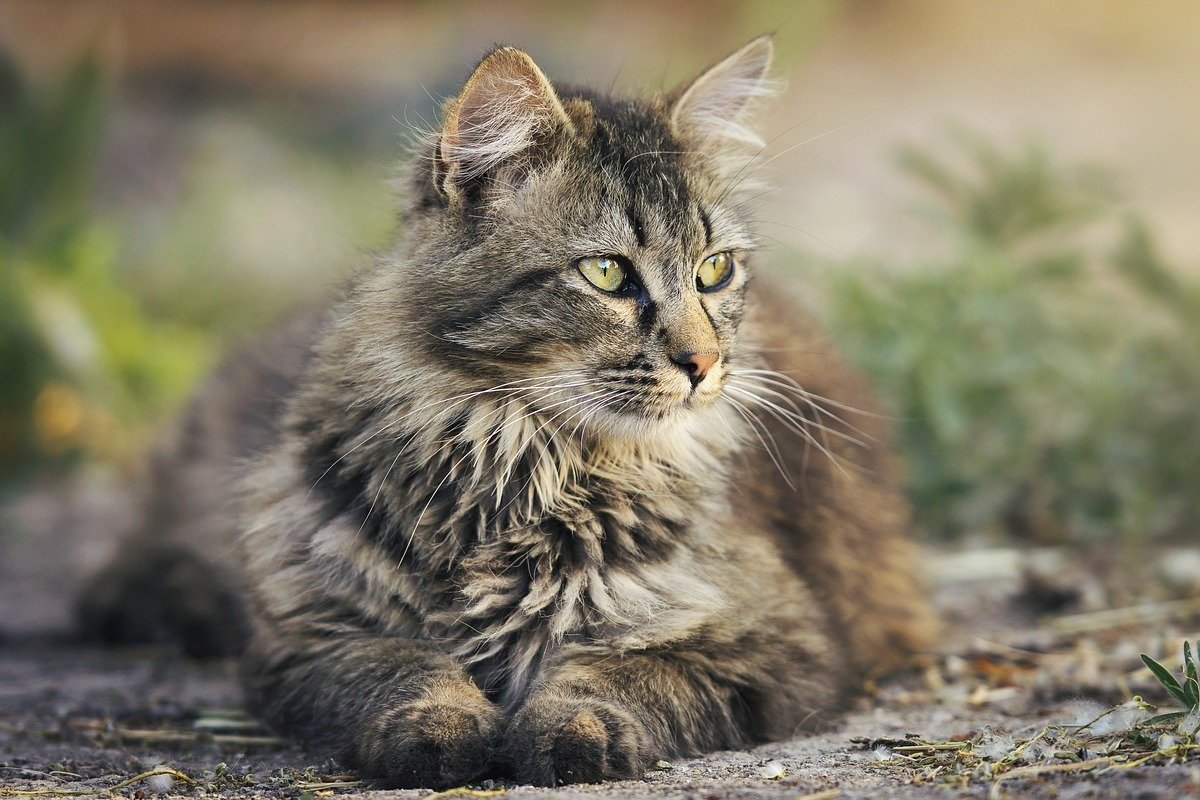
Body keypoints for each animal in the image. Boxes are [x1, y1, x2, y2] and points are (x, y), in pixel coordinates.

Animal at [77, 35, 936, 786]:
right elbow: (404, 666)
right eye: (607, 274)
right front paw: (441, 728)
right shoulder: (312, 633)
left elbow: (618, 672)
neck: (519, 462)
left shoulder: (781, 644)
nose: (703, 365)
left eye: (715, 270)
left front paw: (572, 731)